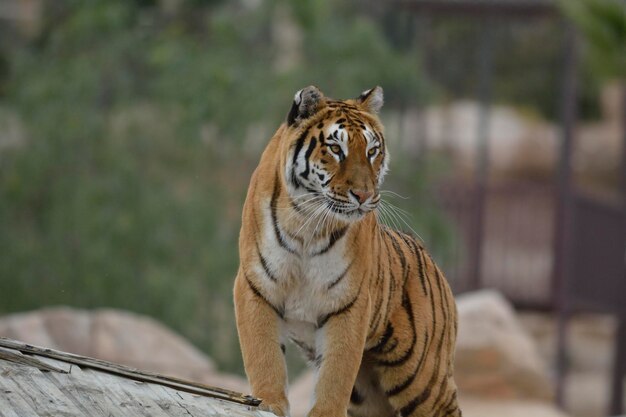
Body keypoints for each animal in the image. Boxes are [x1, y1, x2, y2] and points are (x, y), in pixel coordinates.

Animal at [233, 85, 458, 416]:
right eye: (335, 149)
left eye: (372, 151)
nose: (363, 195)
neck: (305, 223)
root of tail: (436, 267)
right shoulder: (255, 287)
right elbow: (264, 356)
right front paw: (269, 402)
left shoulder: (349, 303)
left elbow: (335, 374)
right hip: (370, 393)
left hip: (423, 380)